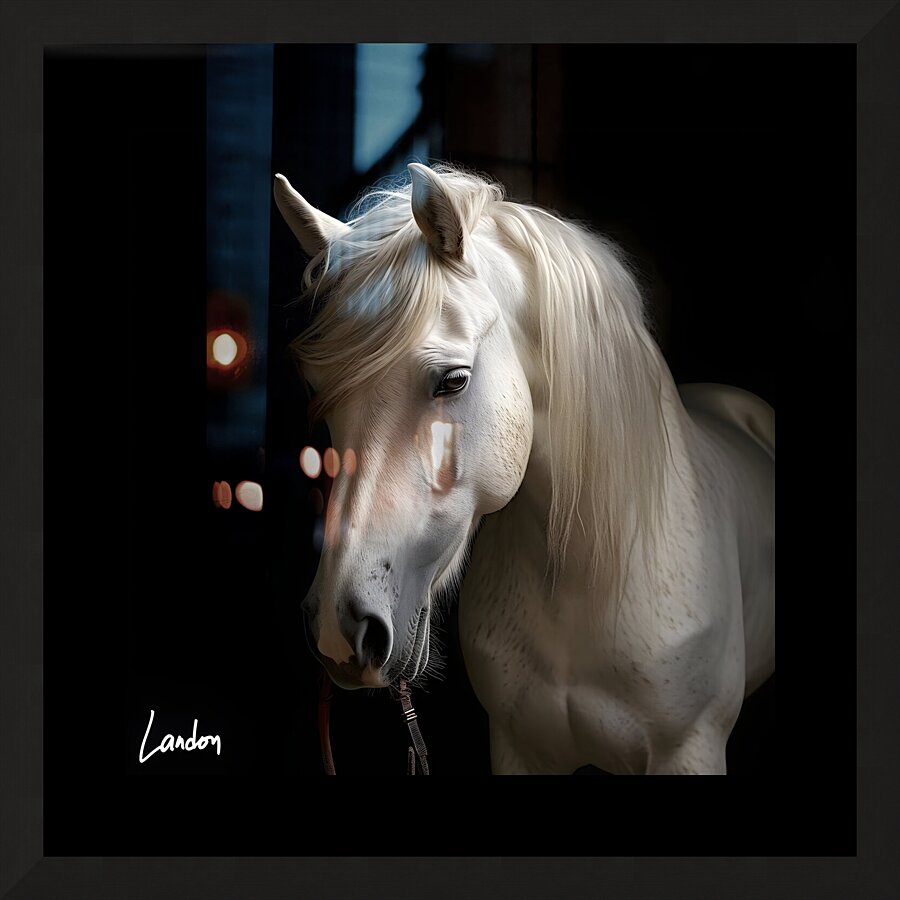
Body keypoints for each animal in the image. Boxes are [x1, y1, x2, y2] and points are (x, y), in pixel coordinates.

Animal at [273, 162, 775, 775]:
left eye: (453, 380)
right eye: (318, 391)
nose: (337, 629)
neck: (587, 577)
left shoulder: (689, 751)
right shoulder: (518, 748)